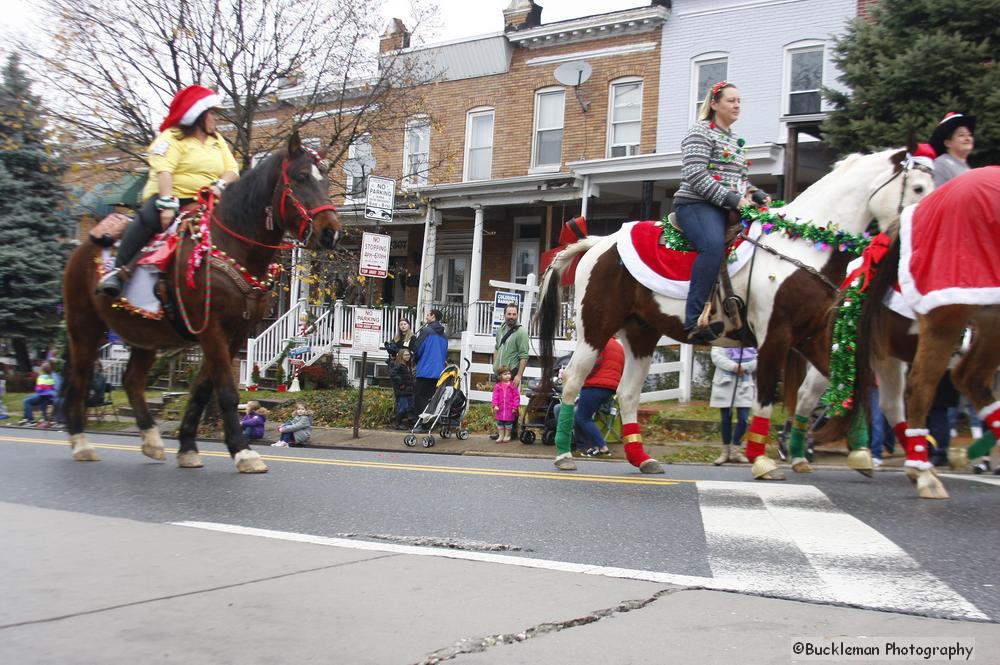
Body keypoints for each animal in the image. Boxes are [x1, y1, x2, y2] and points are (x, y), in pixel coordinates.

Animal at [64, 131, 344, 472]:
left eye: (326, 180)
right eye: (301, 177)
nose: (331, 232)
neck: (232, 247)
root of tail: (84, 247)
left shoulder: (236, 332)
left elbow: (201, 390)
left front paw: (188, 447)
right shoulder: (211, 328)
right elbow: (225, 391)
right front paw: (243, 452)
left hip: (145, 334)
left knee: (131, 381)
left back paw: (152, 441)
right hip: (84, 326)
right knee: (79, 379)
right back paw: (81, 444)